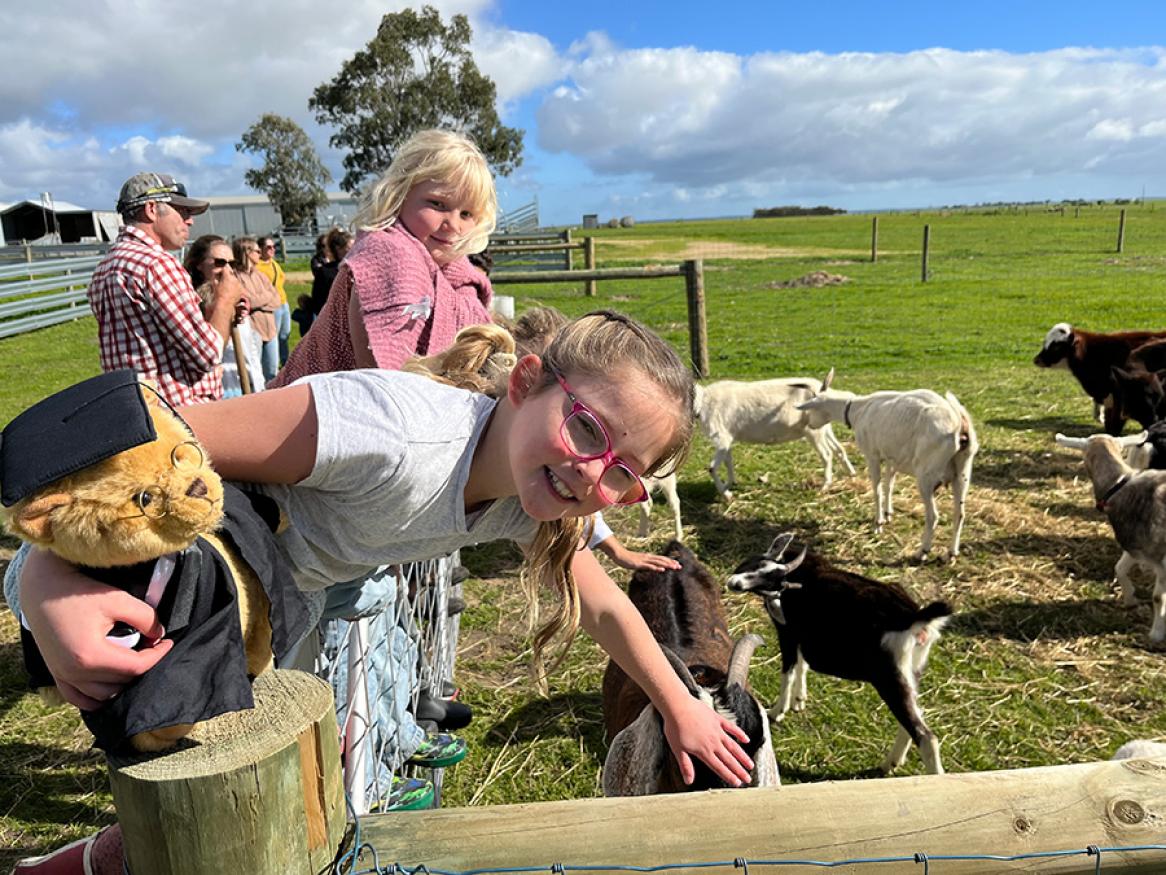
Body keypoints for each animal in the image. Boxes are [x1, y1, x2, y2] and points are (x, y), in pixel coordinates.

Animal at [690, 371, 858, 499]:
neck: (702, 402)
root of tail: (822, 388)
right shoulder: (727, 439)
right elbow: (728, 462)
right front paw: (729, 485)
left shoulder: (721, 437)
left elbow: (712, 468)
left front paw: (726, 495)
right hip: (822, 426)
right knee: (838, 448)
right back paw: (852, 474)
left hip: (813, 431)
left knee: (827, 454)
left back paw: (824, 486)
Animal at [722, 534, 951, 774]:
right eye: (757, 565)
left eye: (772, 579)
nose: (735, 583)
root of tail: (914, 618)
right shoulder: (804, 633)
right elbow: (803, 664)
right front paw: (799, 699)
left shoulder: (788, 632)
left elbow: (789, 670)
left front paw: (777, 711)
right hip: (912, 671)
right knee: (914, 718)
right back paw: (891, 763)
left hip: (890, 677)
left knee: (925, 735)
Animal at [797, 389, 979, 557]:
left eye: (811, 409)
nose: (809, 425)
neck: (857, 409)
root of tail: (959, 424)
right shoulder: (892, 459)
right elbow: (888, 485)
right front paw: (888, 513)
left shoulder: (872, 456)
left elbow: (877, 489)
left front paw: (878, 523)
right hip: (963, 472)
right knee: (960, 514)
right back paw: (952, 553)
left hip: (926, 475)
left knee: (933, 516)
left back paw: (922, 552)